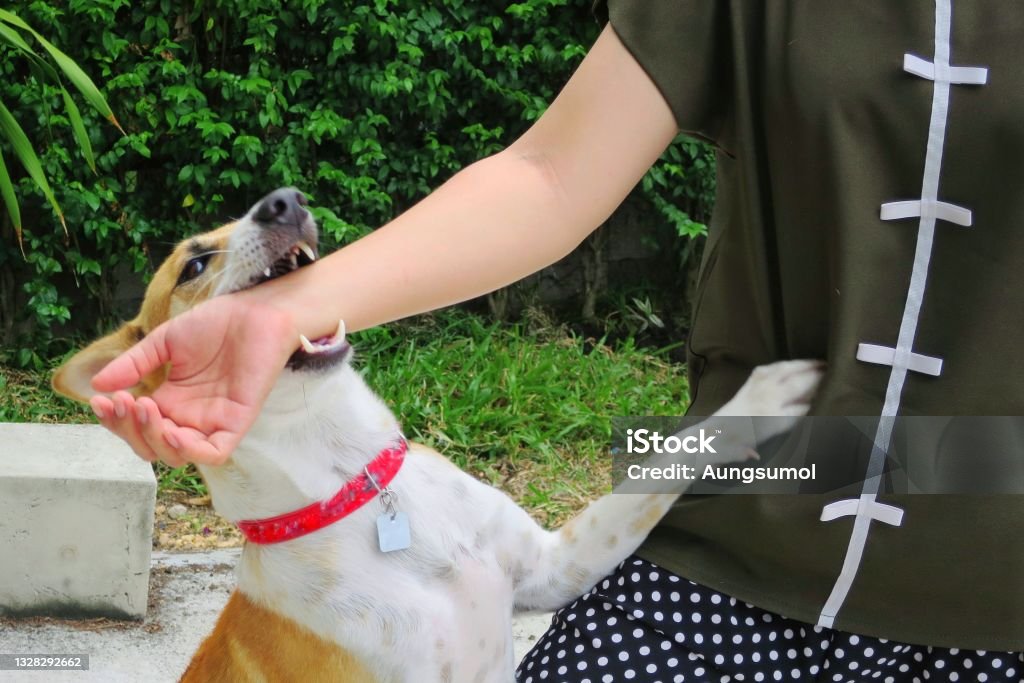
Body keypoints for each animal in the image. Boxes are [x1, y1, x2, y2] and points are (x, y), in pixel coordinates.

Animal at [54, 188, 823, 683]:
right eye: (192, 265)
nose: (284, 201)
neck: (356, 487)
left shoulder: (557, 565)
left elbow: (661, 469)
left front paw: (760, 398)